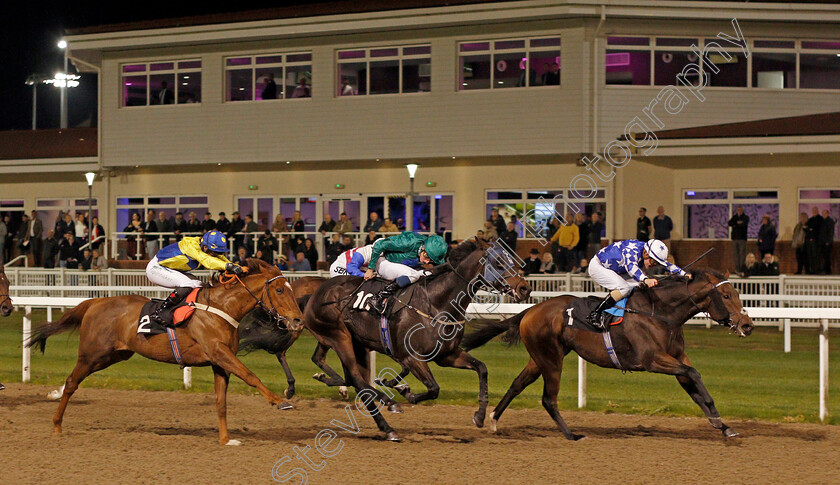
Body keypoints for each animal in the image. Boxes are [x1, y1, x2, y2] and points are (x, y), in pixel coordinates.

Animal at [26, 260, 302, 444]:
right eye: (279, 290)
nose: (298, 320)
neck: (220, 307)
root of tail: (95, 301)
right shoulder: (219, 353)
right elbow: (251, 376)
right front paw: (280, 401)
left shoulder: (220, 362)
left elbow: (221, 402)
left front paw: (225, 439)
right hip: (92, 353)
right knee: (72, 381)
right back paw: (57, 424)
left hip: (113, 355)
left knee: (73, 381)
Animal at [304, 236, 532, 440]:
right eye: (499, 262)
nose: (525, 288)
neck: (436, 303)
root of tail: (318, 291)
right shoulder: (411, 358)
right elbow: (433, 388)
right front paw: (406, 392)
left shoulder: (447, 355)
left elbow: (481, 368)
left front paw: (480, 415)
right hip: (339, 338)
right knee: (358, 382)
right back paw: (389, 420)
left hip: (358, 343)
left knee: (352, 378)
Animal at [460, 270, 756, 440]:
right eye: (726, 295)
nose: (747, 325)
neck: (661, 313)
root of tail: (531, 310)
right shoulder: (653, 360)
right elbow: (694, 375)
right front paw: (717, 420)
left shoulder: (678, 358)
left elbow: (695, 385)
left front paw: (722, 424)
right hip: (552, 359)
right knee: (548, 399)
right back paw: (571, 435)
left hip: (540, 357)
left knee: (517, 385)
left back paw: (492, 421)